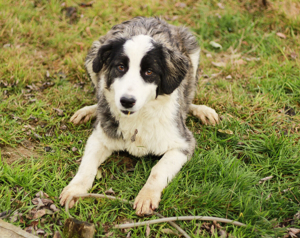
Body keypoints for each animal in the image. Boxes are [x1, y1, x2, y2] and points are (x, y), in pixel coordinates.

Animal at [59, 16, 218, 216]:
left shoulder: (183, 144)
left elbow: (158, 170)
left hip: (192, 54)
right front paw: (75, 190)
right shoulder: (99, 138)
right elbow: (86, 166)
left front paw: (146, 196)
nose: (127, 101)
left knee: (188, 99)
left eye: (149, 72)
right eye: (120, 67)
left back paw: (202, 110)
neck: (137, 118)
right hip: (93, 57)